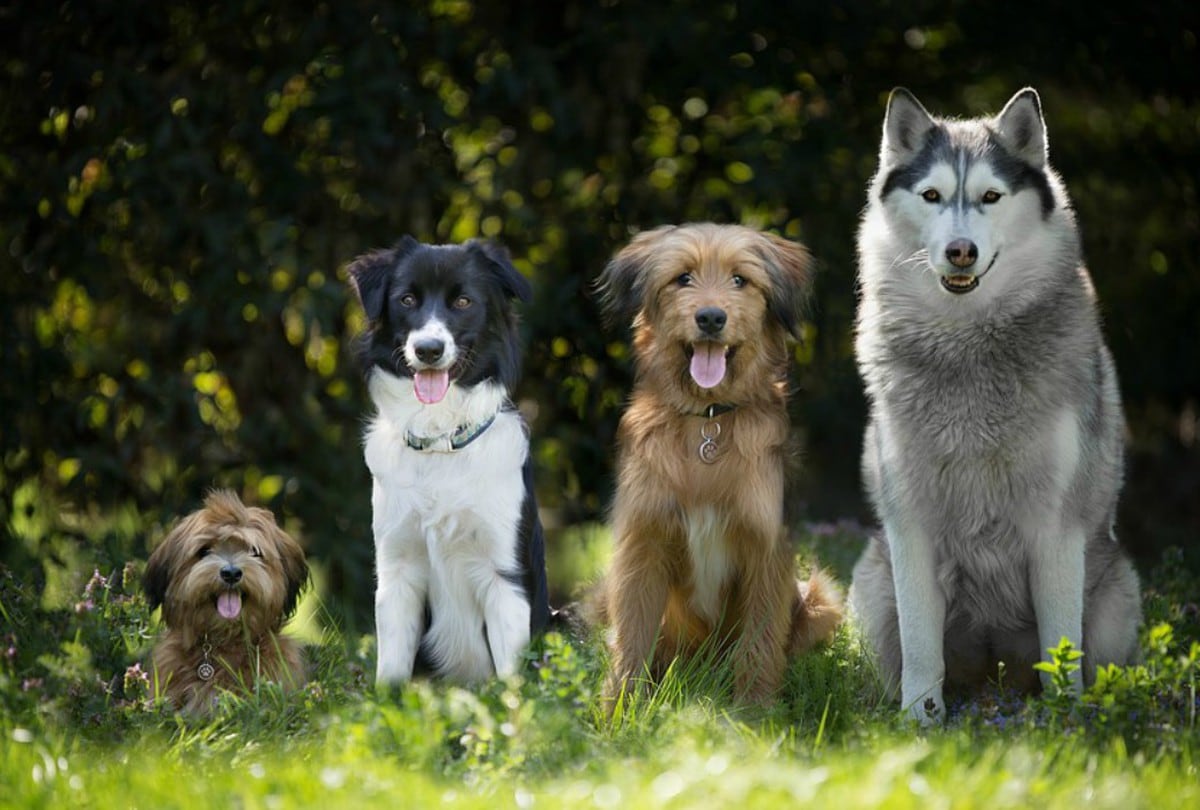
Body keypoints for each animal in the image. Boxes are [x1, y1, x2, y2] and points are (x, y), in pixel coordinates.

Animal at [592, 223, 844, 710]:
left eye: (740, 280)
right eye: (683, 278)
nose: (711, 318)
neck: (707, 421)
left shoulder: (767, 549)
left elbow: (760, 643)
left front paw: (754, 711)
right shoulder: (642, 545)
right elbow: (632, 639)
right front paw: (619, 711)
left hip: (821, 598)